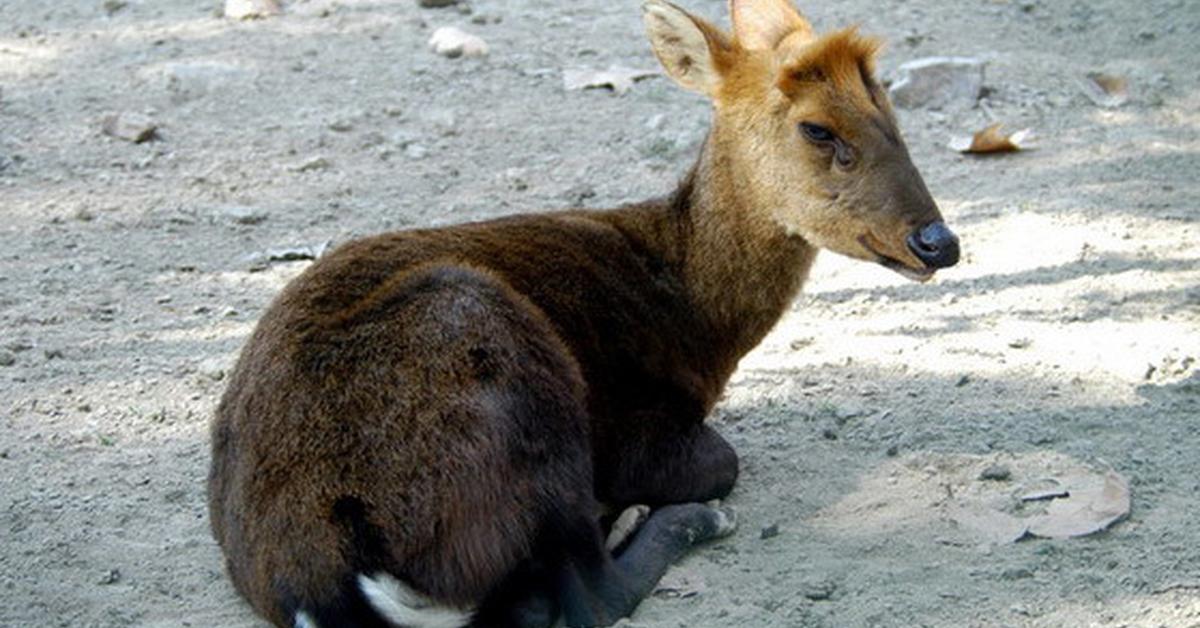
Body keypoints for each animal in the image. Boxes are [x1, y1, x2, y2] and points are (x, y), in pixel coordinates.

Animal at [206, 0, 955, 624]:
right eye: (817, 128)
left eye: (892, 113)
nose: (938, 241)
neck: (695, 320)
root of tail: (331, 579)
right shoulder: (638, 428)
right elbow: (721, 460)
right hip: (512, 363)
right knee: (588, 595)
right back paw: (676, 521)